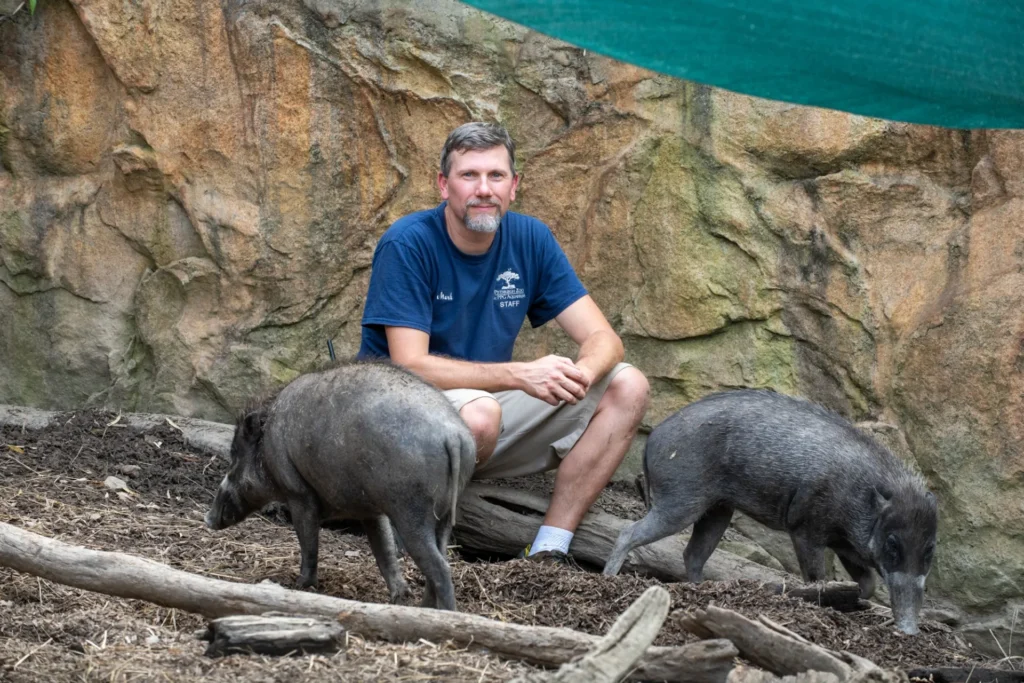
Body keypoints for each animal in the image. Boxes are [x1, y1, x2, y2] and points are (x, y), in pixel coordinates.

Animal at [210, 360, 479, 610]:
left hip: (412, 511)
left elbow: (309, 543)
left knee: (440, 566)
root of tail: (453, 436)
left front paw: (302, 586)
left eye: (234, 454)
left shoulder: (299, 494)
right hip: (443, 514)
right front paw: (398, 596)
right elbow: (383, 549)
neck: (266, 448)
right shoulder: (371, 511)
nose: (208, 518)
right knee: (440, 557)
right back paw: (422, 608)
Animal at [602, 389, 937, 634]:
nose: (909, 631)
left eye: (930, 550)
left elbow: (867, 583)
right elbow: (817, 576)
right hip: (680, 499)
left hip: (718, 510)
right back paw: (609, 576)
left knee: (692, 554)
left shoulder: (846, 546)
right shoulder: (805, 528)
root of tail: (652, 438)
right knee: (629, 532)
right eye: (892, 544)